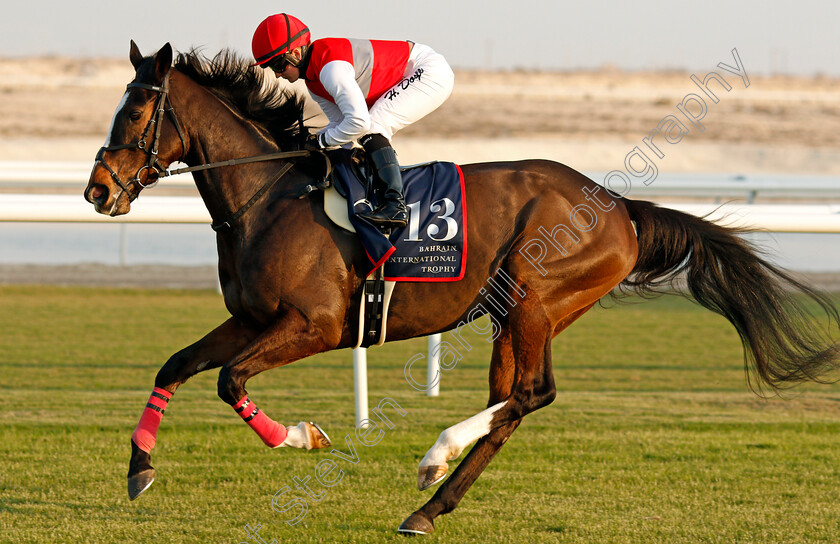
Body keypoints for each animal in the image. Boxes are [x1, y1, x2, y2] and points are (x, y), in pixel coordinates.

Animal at [80, 43, 840, 536]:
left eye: (137, 113)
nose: (97, 191)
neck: (270, 196)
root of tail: (621, 206)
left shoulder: (315, 324)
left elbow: (228, 380)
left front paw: (304, 436)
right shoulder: (251, 318)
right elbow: (177, 366)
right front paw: (139, 469)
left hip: (535, 296)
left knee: (533, 393)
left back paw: (433, 459)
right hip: (516, 314)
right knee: (511, 404)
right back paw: (428, 504)